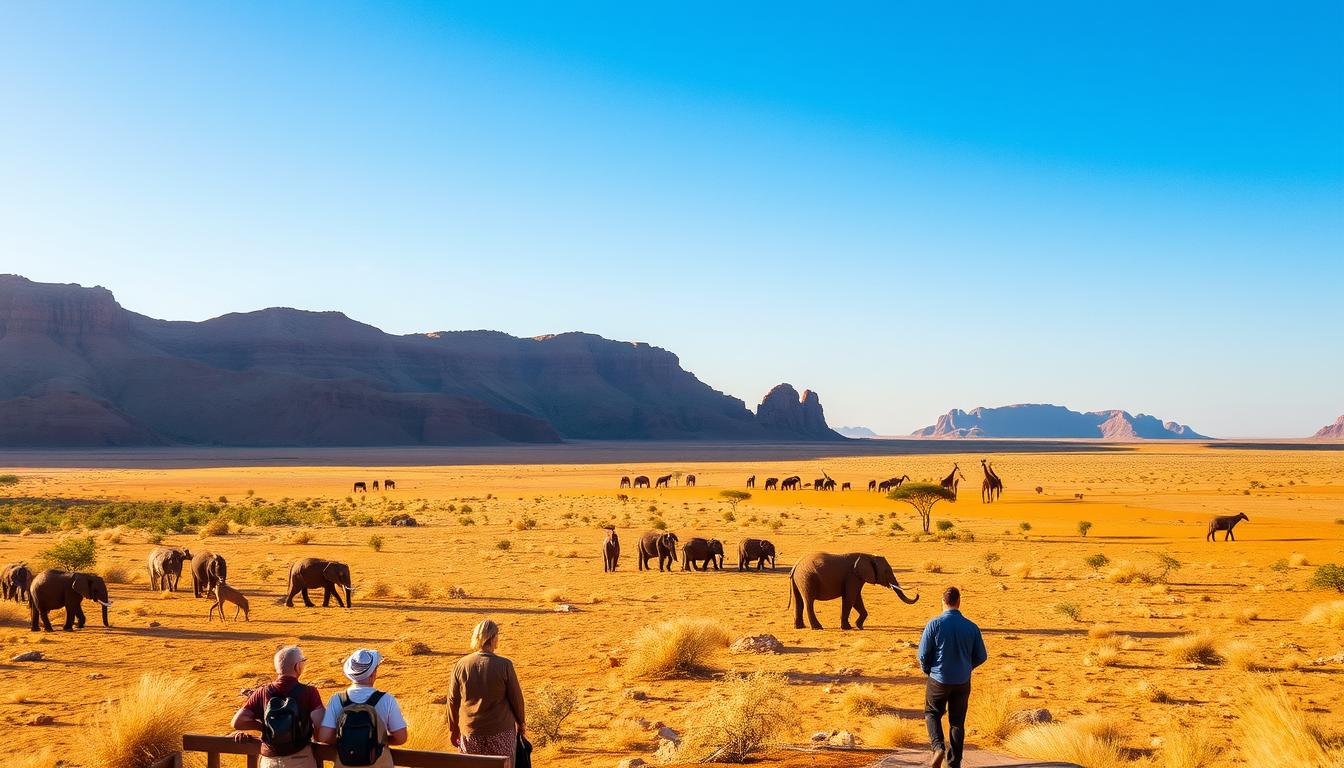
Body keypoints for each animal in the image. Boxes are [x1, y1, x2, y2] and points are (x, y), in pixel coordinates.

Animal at [784, 554, 919, 632]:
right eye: (886, 571)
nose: (918, 592)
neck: (869, 556)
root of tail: (795, 566)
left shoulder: (857, 578)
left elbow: (857, 599)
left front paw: (859, 626)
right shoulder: (853, 576)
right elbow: (850, 598)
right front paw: (848, 628)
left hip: (799, 580)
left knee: (799, 602)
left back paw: (800, 627)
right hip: (807, 579)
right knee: (809, 602)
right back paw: (817, 628)